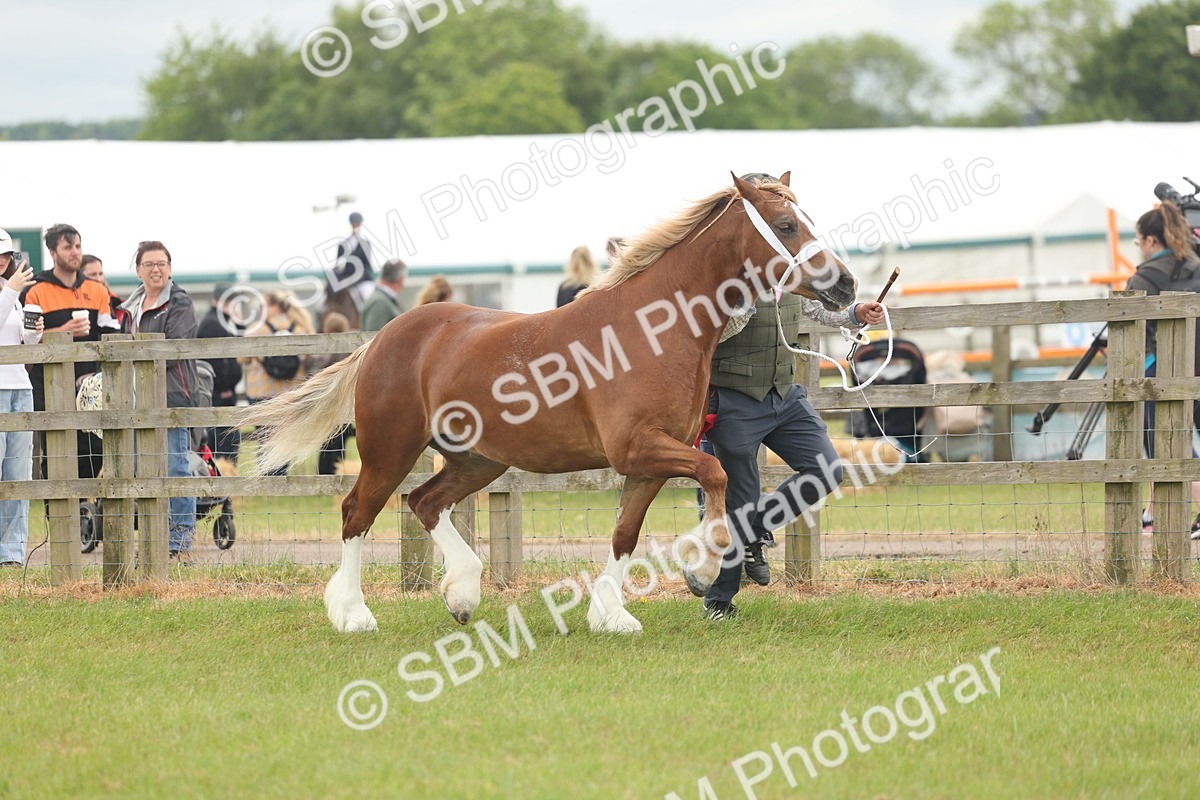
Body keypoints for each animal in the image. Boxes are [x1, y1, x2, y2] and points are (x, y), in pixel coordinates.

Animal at [243, 172, 857, 634]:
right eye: (786, 225)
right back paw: (354, 615)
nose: (847, 286)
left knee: (424, 502)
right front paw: (704, 569)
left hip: (478, 460)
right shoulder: (639, 448)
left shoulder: (648, 464)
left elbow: (625, 534)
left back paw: (462, 593)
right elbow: (716, 476)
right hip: (389, 451)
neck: (652, 330)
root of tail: (384, 338)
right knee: (358, 513)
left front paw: (611, 616)